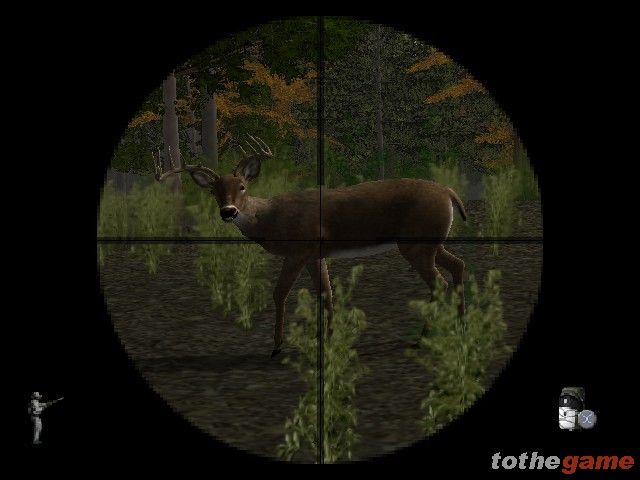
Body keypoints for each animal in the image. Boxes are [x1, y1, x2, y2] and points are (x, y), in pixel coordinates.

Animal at [153, 135, 467, 357]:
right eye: (214, 191)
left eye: (242, 186)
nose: (228, 211)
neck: (270, 219)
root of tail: (449, 192)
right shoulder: (316, 254)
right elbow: (325, 292)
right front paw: (327, 336)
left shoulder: (299, 249)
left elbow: (280, 292)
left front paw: (277, 345)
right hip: (431, 242)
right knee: (458, 264)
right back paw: (458, 322)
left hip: (416, 243)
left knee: (439, 281)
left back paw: (423, 337)